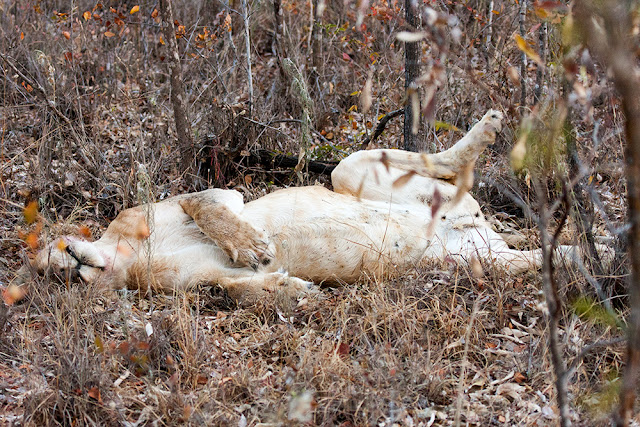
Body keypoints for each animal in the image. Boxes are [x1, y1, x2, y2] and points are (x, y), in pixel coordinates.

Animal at [16, 110, 608, 304]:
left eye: (54, 260)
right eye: (55, 278)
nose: (71, 268)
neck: (127, 258)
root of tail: (472, 224)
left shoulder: (208, 198)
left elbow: (202, 200)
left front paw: (252, 244)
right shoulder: (200, 283)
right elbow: (235, 290)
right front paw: (294, 291)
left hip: (350, 168)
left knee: (443, 157)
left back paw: (487, 128)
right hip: (472, 263)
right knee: (561, 256)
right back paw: (601, 267)